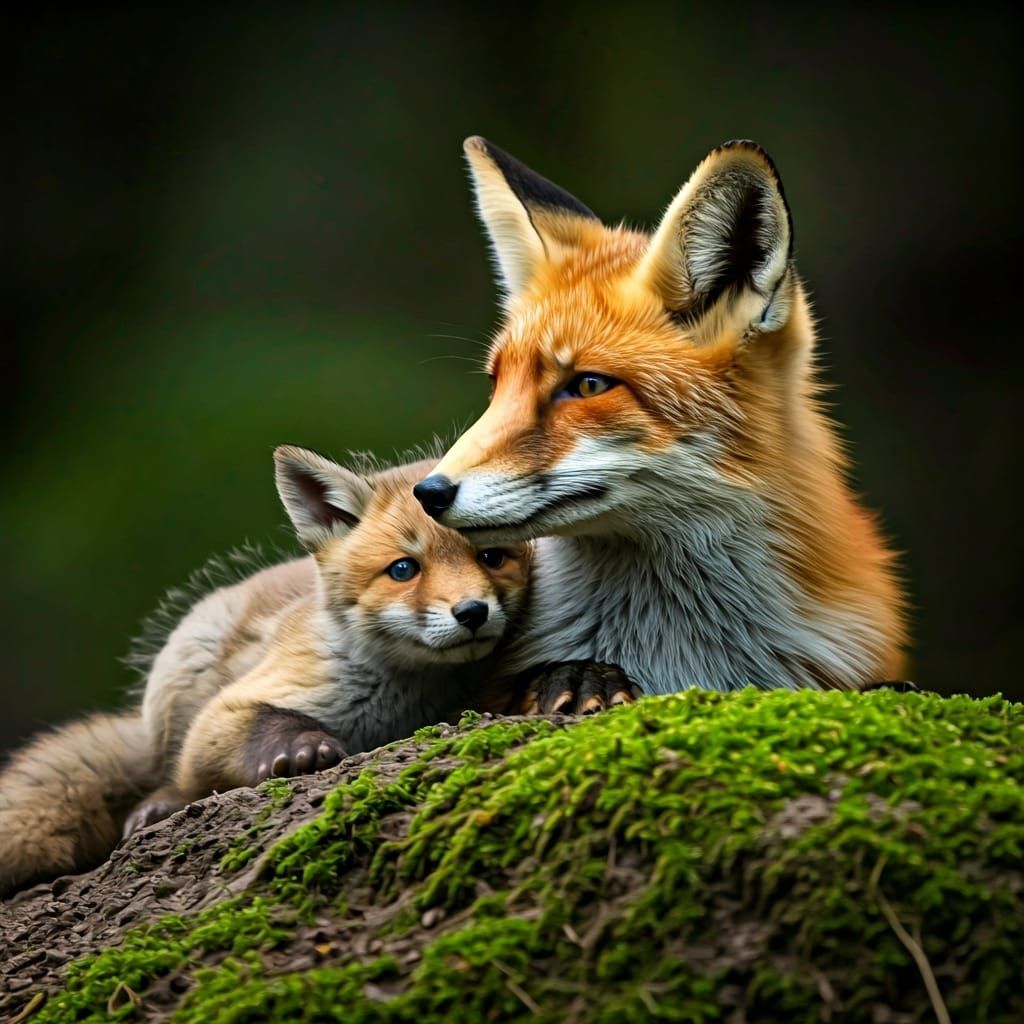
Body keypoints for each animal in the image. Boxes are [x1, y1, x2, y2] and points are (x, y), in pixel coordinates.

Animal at [0, 445, 529, 896]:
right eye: (403, 569)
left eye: (491, 556)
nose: (472, 611)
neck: (403, 698)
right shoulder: (226, 711)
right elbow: (260, 726)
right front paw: (301, 749)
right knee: (168, 773)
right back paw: (158, 805)